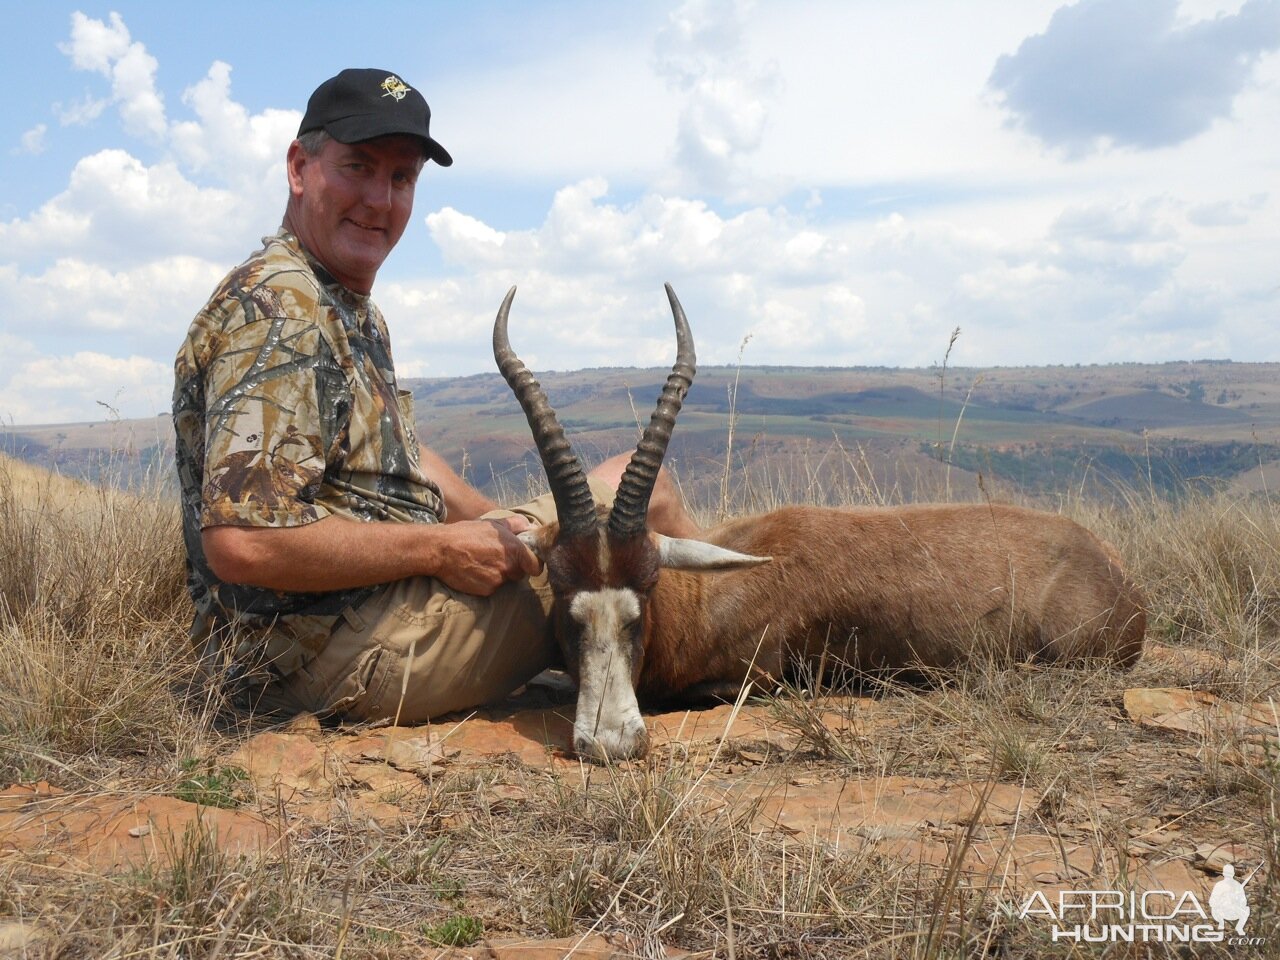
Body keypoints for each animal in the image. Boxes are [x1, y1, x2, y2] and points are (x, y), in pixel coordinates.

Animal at [491, 281, 1152, 762]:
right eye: (564, 597)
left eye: (643, 597)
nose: (608, 744)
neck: (709, 595)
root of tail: (1120, 576)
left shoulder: (756, 682)